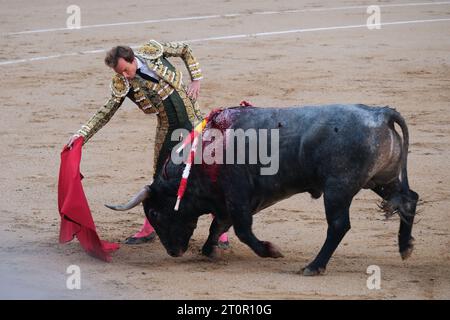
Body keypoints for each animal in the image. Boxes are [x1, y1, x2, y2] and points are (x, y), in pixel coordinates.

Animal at [107, 105, 420, 276]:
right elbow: (217, 227)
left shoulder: (237, 198)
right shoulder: (225, 202)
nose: (174, 252)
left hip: (338, 189)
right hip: (381, 180)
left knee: (339, 225)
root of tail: (379, 114)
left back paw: (313, 266)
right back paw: (405, 247)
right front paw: (209, 251)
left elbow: (243, 231)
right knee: (408, 200)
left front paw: (271, 251)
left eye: (156, 214)